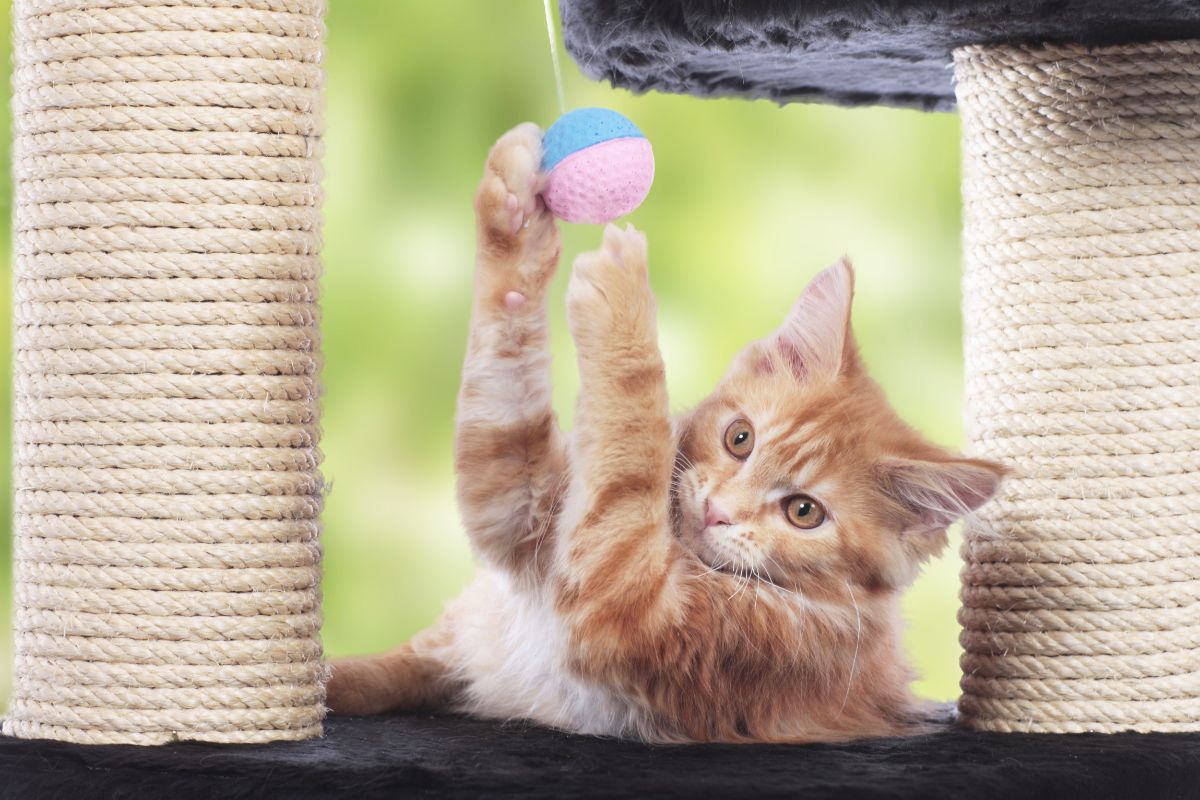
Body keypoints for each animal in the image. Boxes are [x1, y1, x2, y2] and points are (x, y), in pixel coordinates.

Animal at [326, 123, 1003, 743]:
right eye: (739, 439)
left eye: (804, 511)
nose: (718, 510)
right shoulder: (522, 505)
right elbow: (506, 372)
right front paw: (516, 214)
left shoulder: (643, 617)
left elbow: (632, 443)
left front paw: (625, 300)